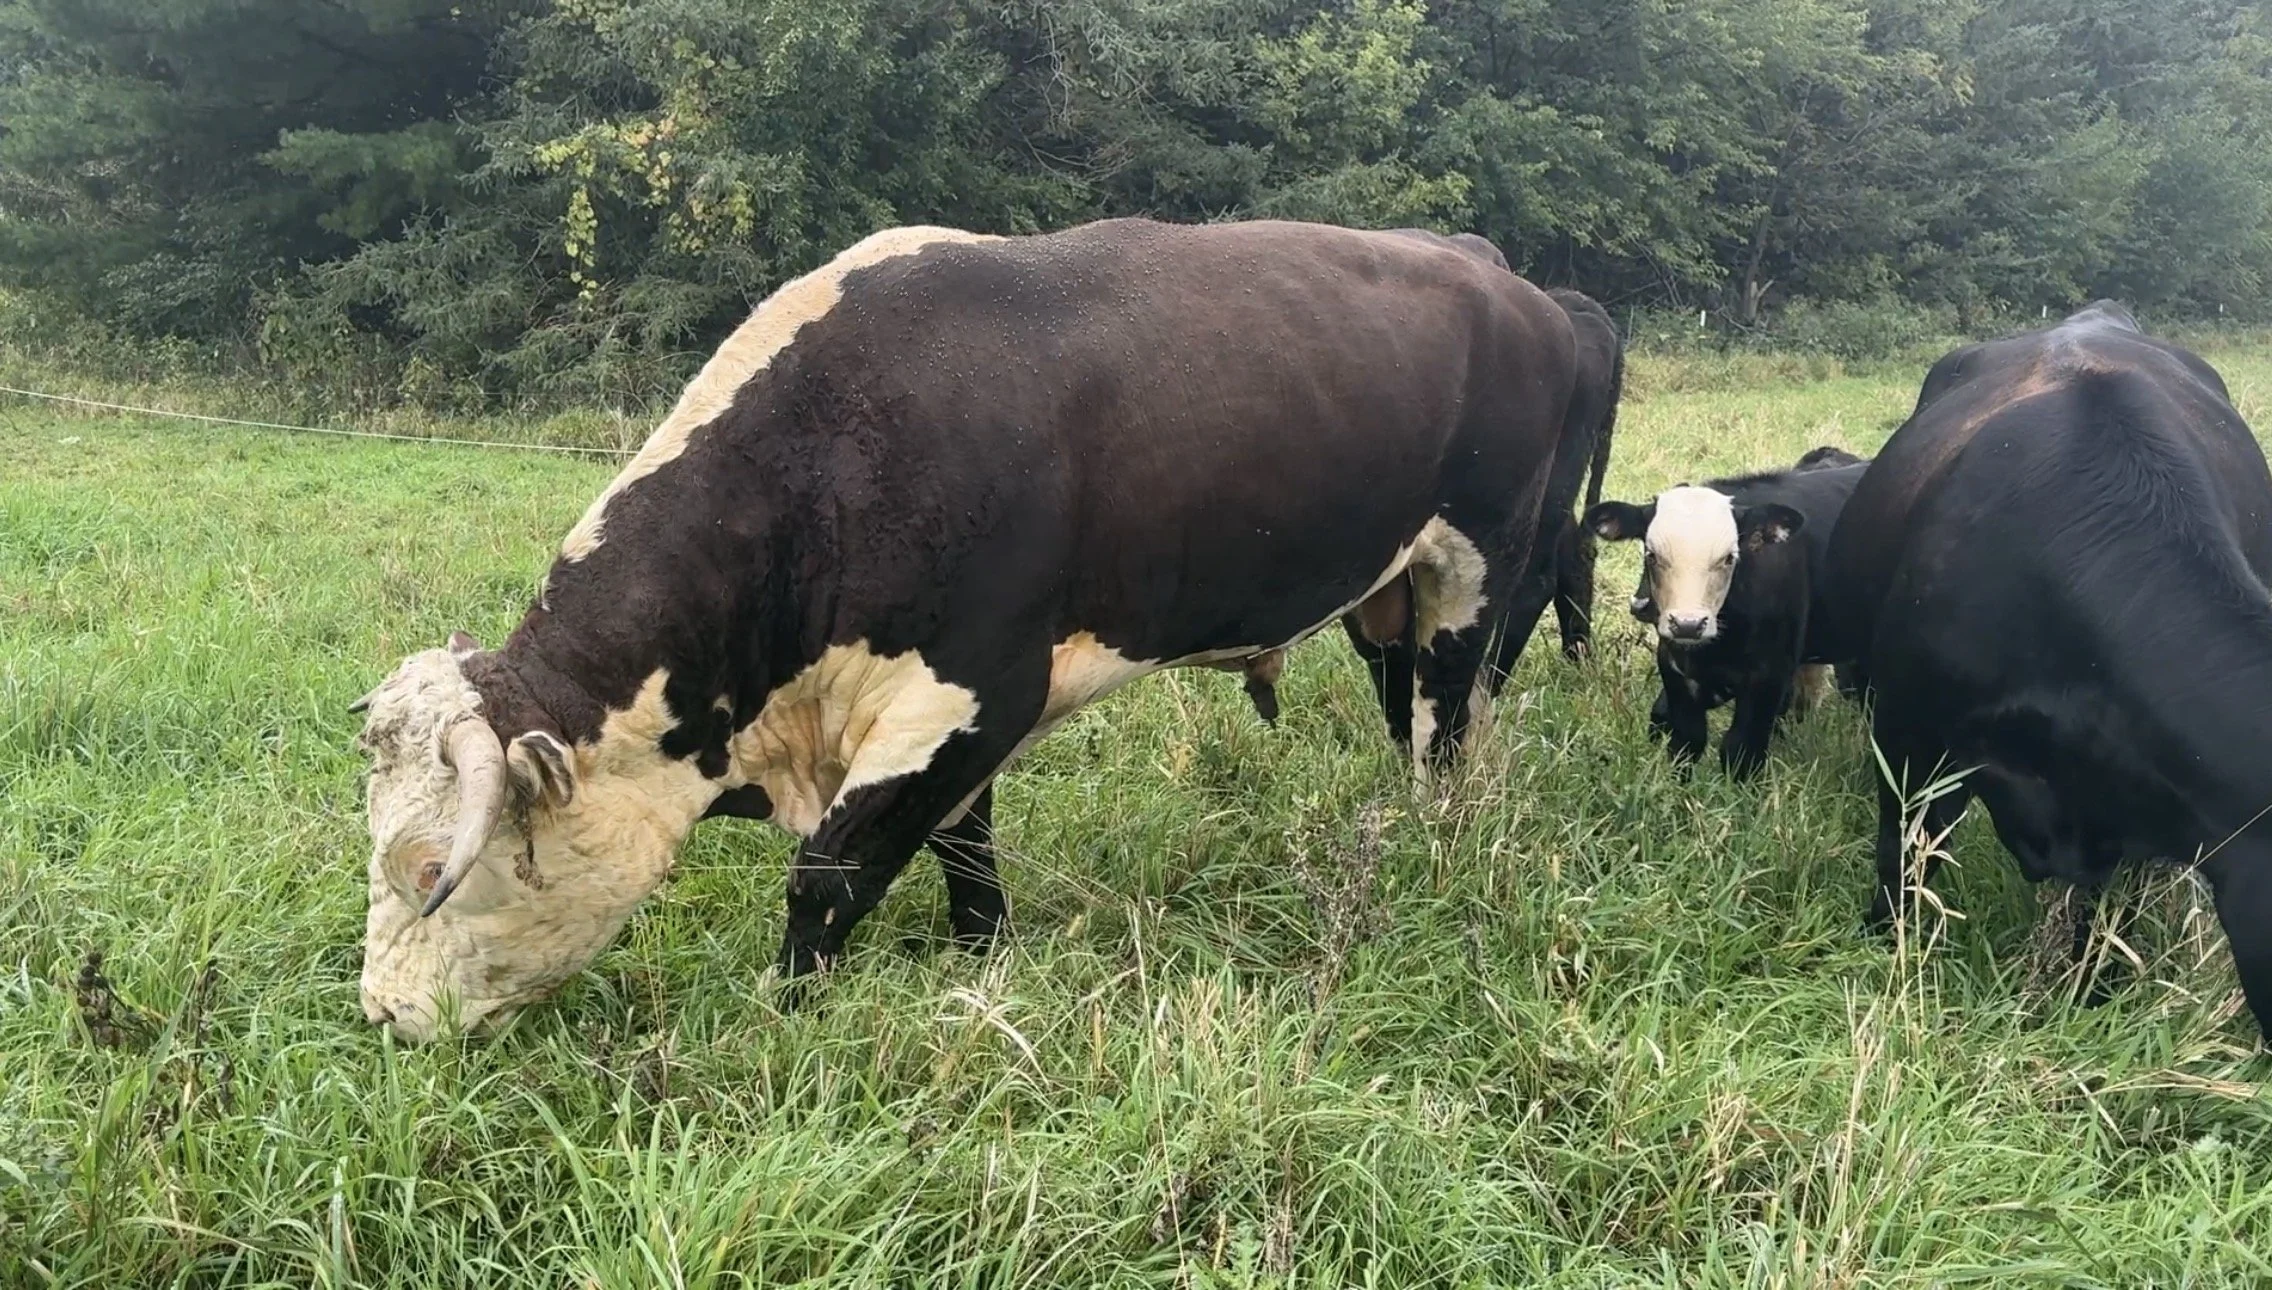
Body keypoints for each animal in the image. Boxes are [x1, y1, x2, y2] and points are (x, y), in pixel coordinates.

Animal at [352, 218, 1577, 1041]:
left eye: (427, 869)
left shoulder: (979, 686)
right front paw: (980, 952)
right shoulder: (952, 713)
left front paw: (787, 1012)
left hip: (1477, 560)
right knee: (1403, 697)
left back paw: (1432, 833)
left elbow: (829, 874)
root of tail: (1496, 273)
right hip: (1384, 589)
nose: (382, 1015)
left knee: (1445, 713)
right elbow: (960, 842)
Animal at [1583, 450, 1867, 779]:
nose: (1688, 624)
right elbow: (1684, 740)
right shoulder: (1674, 668)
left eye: (1729, 558)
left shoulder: (1768, 675)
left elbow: (1741, 751)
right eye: (1650, 554)